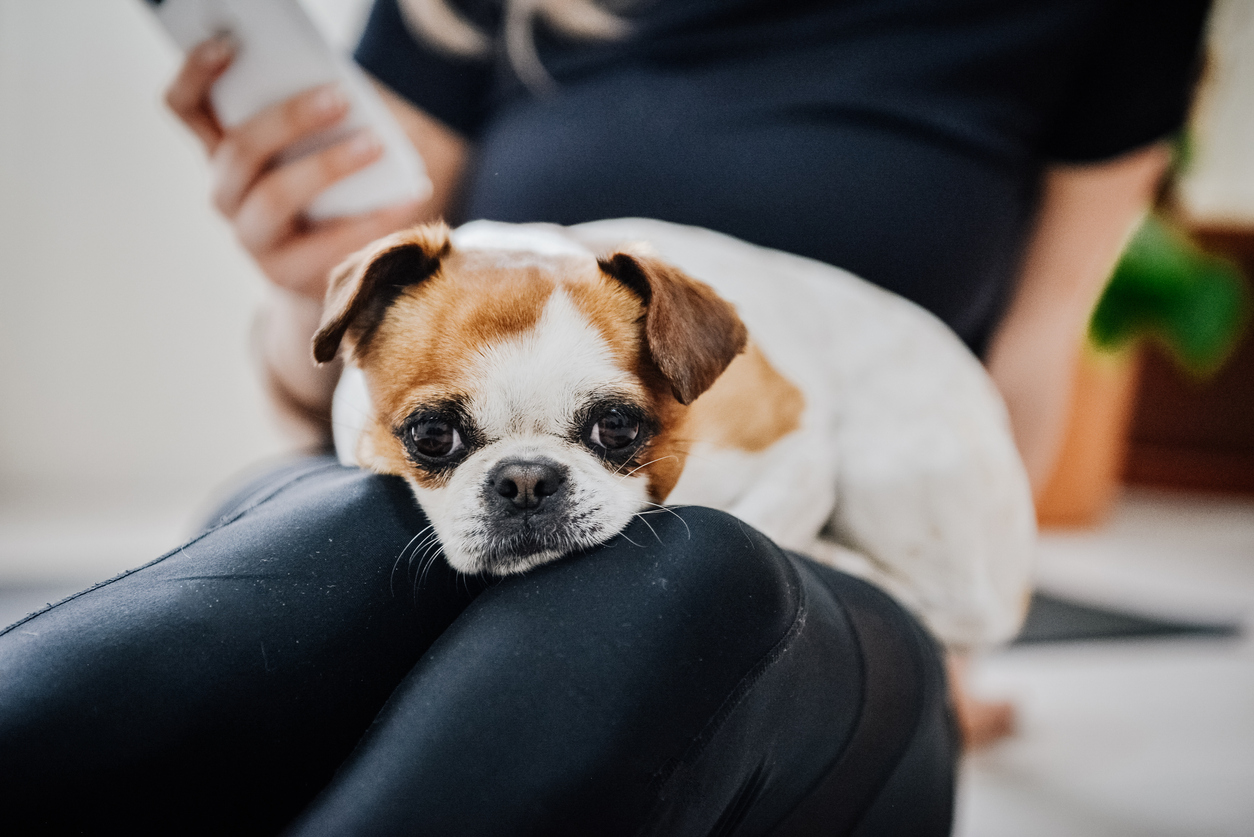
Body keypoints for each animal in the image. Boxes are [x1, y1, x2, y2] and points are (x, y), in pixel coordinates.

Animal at [318, 218, 1033, 647]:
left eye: (616, 428)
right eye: (431, 436)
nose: (525, 480)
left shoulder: (799, 452)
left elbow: (753, 520)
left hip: (882, 467)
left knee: (966, 610)